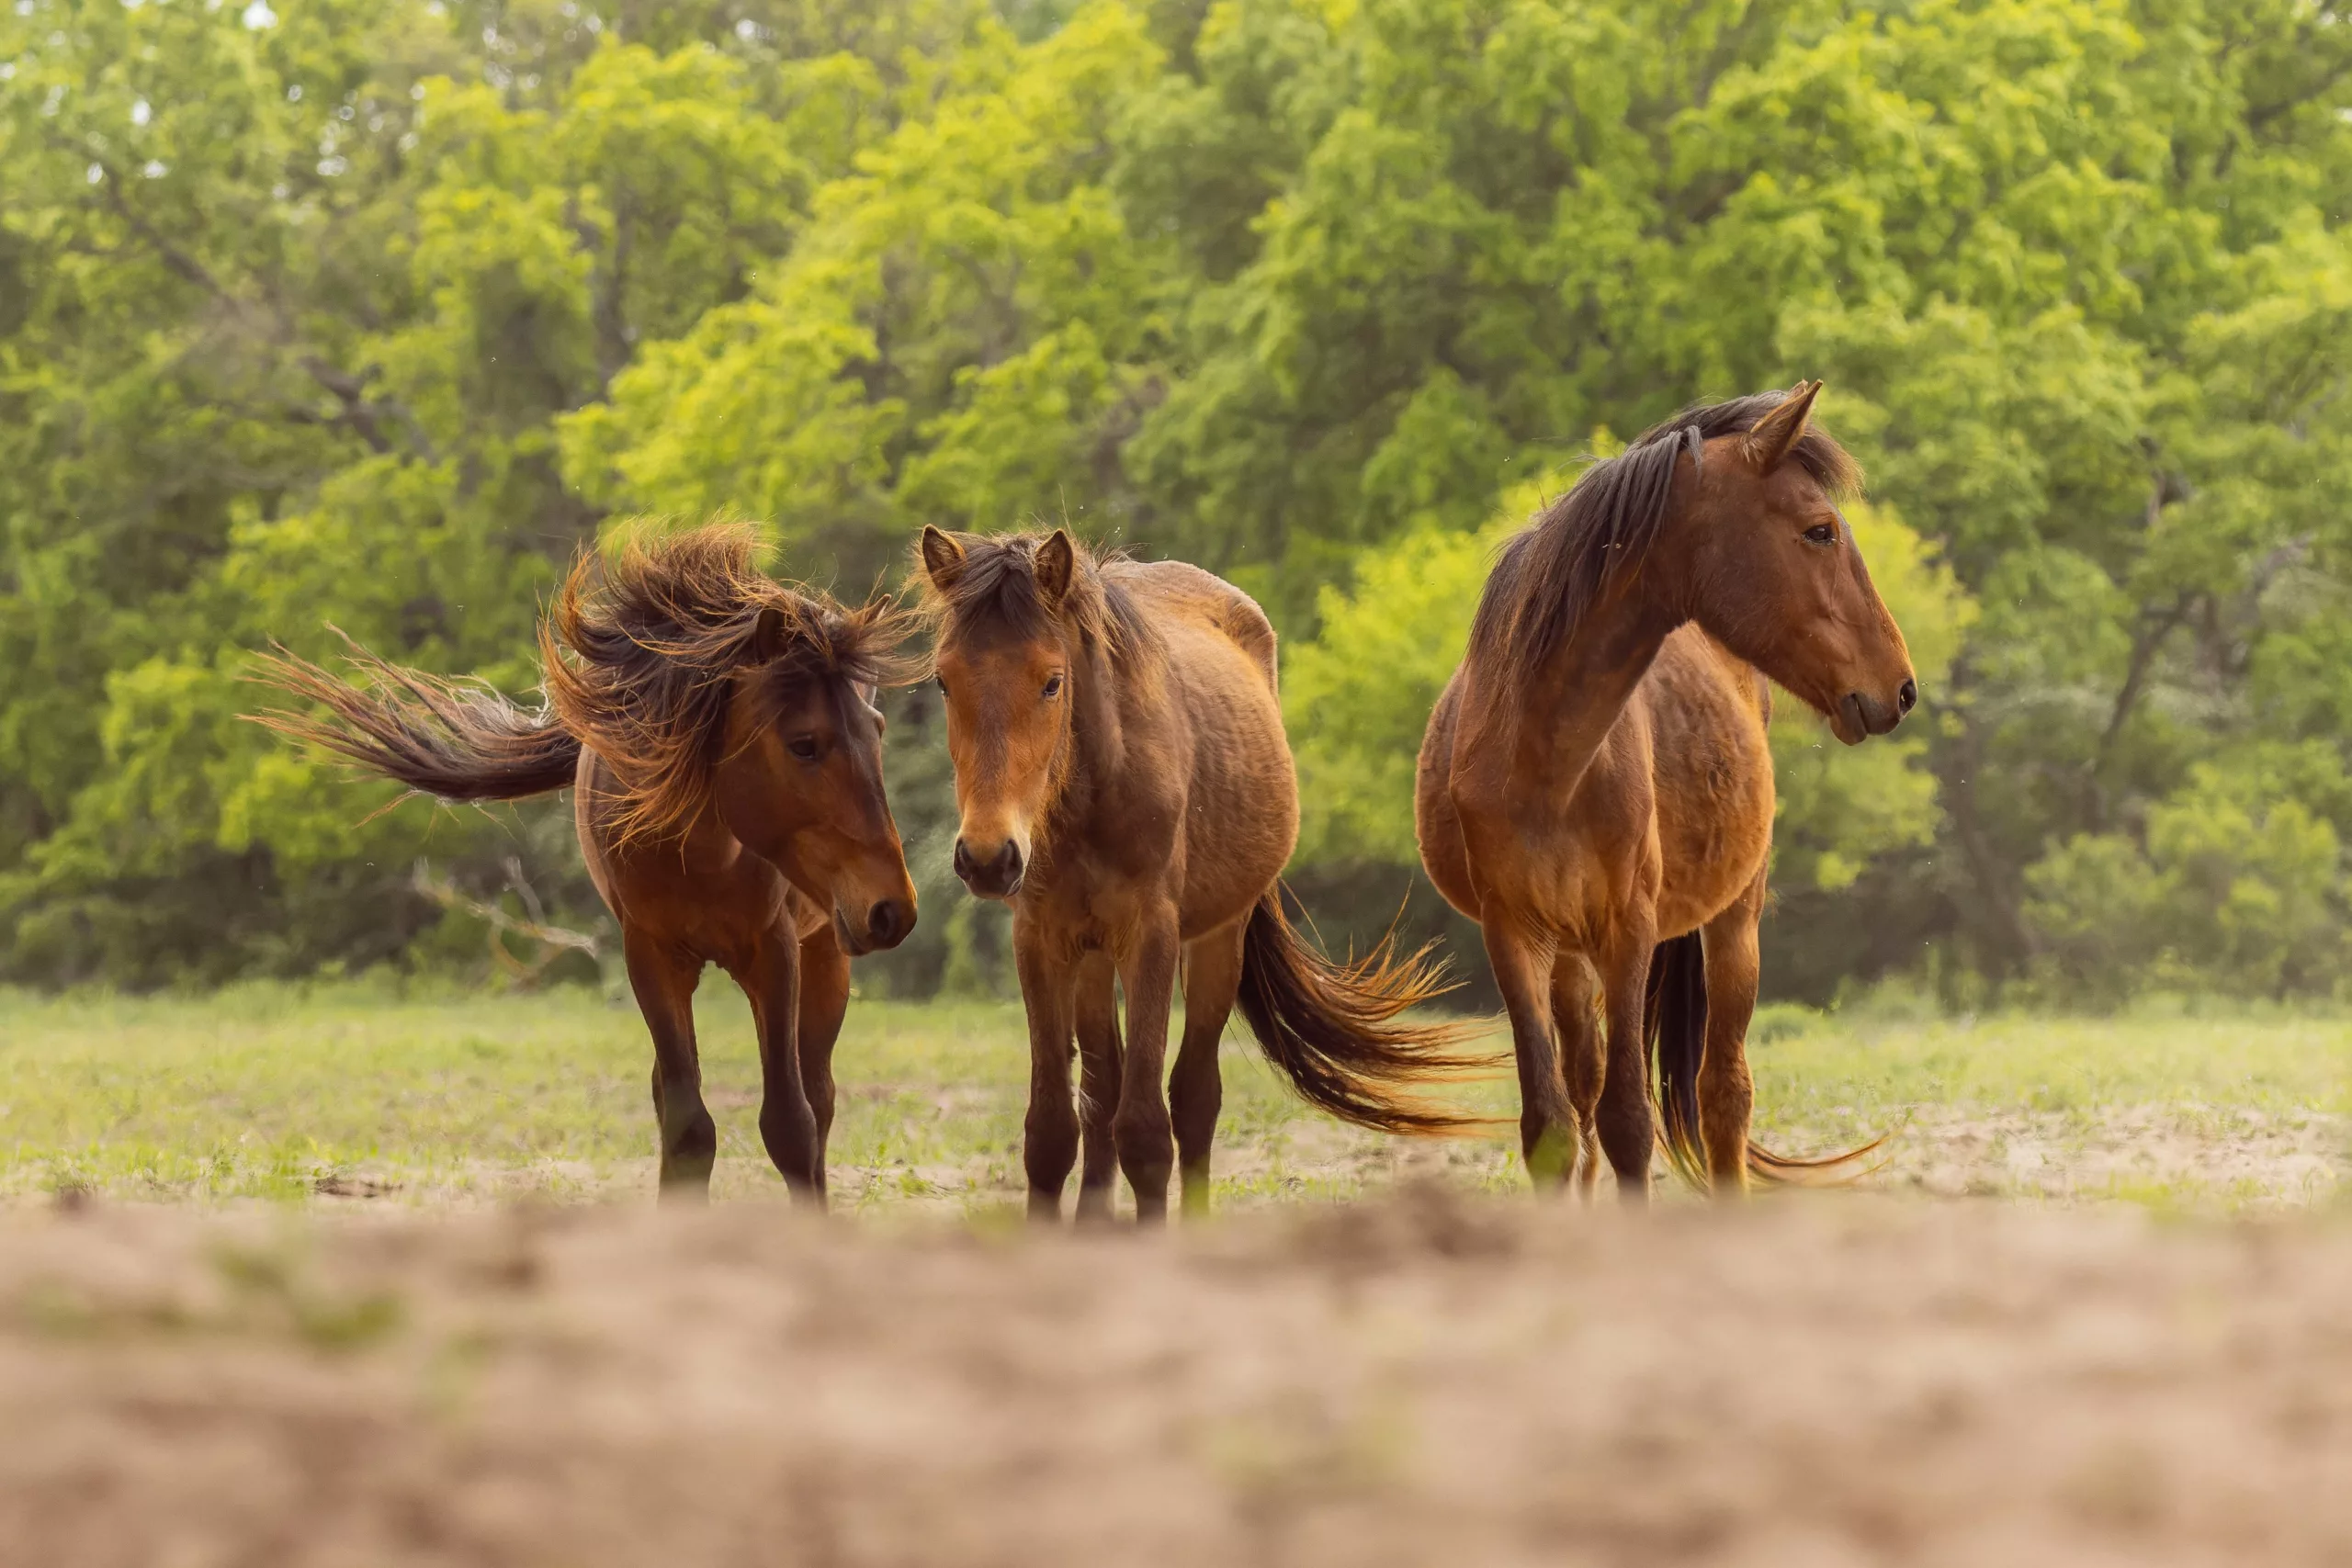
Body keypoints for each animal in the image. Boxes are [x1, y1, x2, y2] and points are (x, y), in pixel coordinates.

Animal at [257, 524, 917, 1203]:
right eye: (803, 744)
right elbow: (687, 1125)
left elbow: (790, 1124)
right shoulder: (650, 955)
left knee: (820, 1097)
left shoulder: (775, 951)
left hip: (827, 953)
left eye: (877, 728)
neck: (700, 850)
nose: (891, 908)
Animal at [912, 526, 1476, 1222]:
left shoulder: (1151, 937)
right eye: (943, 681)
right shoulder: (1040, 941)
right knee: (1102, 1089)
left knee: (1194, 1097)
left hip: (1215, 943)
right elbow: (1051, 1132)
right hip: (1091, 955)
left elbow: (1147, 1131)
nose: (989, 857)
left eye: (1051, 681)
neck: (1094, 792)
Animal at [1420, 380, 1918, 1203]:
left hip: (1733, 923)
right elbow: (1553, 1124)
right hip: (1570, 954)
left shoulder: (1629, 928)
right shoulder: (1513, 934)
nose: (1901, 687)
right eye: (1819, 531)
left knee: (1723, 1093)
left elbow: (1628, 1118)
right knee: (1587, 1084)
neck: (1545, 758)